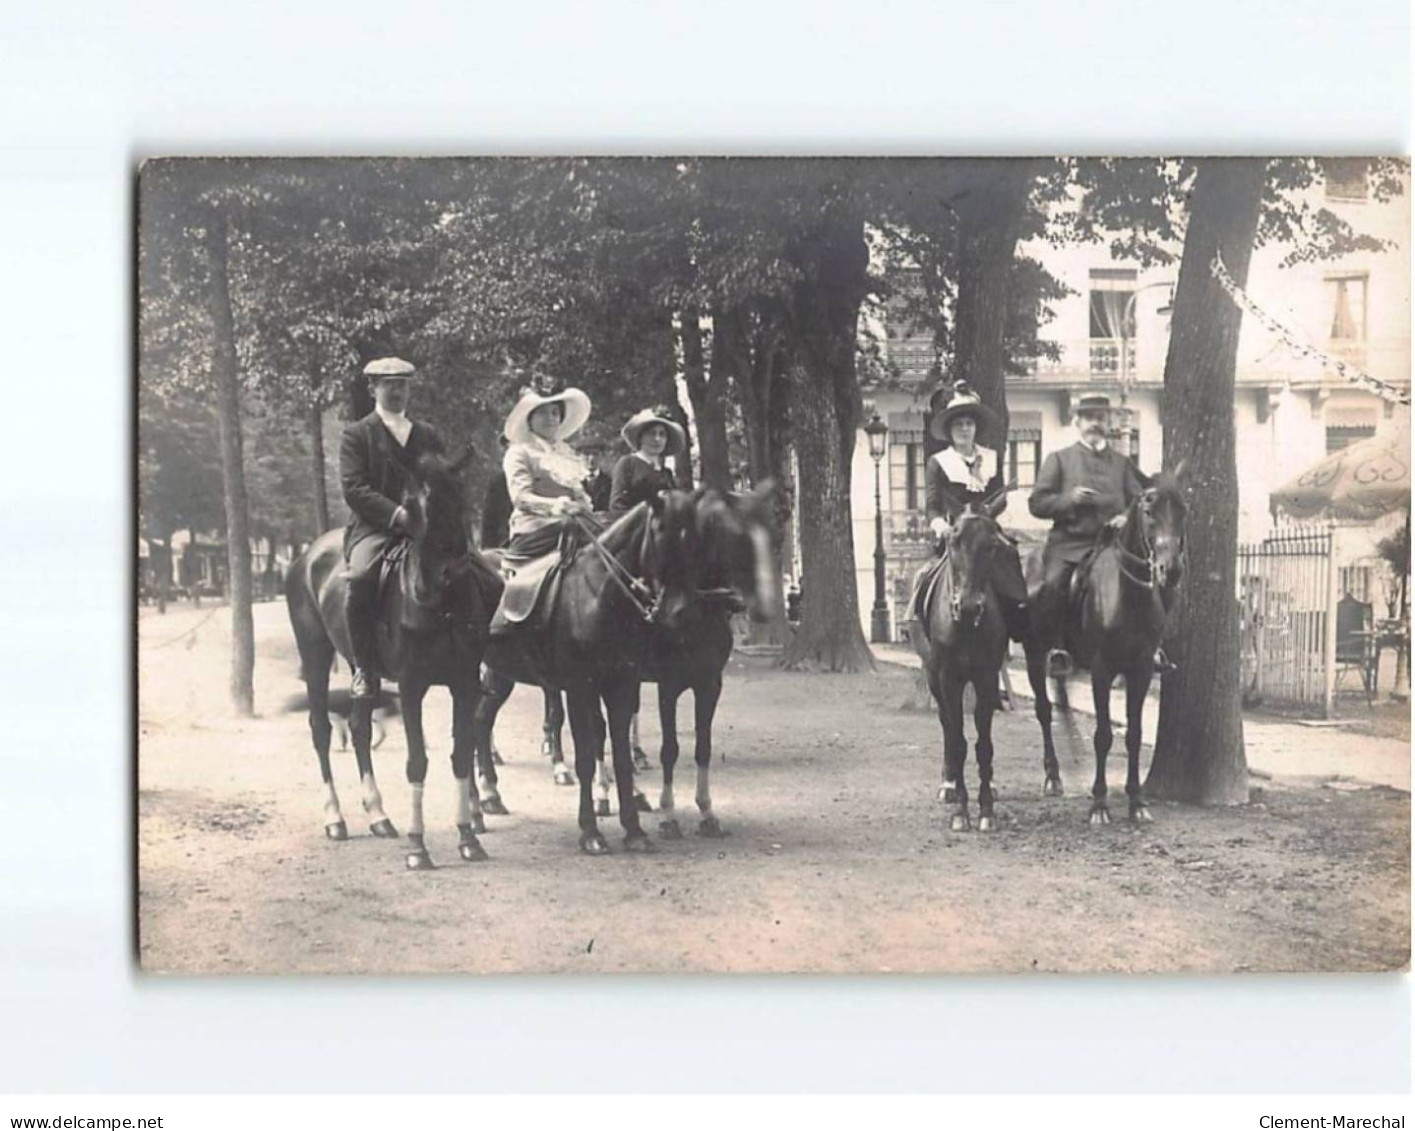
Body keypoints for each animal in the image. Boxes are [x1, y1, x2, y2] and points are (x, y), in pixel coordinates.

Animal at [283, 450, 503, 866]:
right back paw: (335, 819)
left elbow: (461, 754)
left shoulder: (464, 683)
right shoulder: (412, 685)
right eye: (413, 507)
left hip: (361, 665)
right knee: (321, 729)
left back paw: (378, 815)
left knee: (359, 727)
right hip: (315, 654)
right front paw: (418, 847)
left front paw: (468, 837)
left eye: (460, 500)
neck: (443, 607)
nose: (438, 579)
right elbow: (417, 762)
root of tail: (307, 554)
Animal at [469, 489, 701, 854]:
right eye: (661, 536)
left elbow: (620, 755)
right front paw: (591, 831)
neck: (597, 593)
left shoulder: (622, 686)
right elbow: (586, 756)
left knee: (480, 720)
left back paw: (490, 797)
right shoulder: (580, 688)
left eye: (696, 539)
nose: (681, 612)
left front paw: (634, 830)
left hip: (499, 674)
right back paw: (476, 811)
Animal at [916, 492, 1018, 832]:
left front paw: (986, 808)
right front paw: (961, 810)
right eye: (952, 540)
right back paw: (948, 783)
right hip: (933, 678)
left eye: (992, 544)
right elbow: (958, 740)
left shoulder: (986, 677)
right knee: (947, 727)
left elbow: (984, 744)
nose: (971, 606)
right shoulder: (948, 679)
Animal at [1024, 464, 1188, 826]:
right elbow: (1103, 735)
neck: (1129, 597)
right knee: (1043, 709)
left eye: (1184, 510)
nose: (1170, 570)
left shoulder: (1141, 670)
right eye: (1148, 510)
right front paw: (1099, 803)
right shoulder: (1102, 670)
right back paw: (1053, 775)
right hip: (1033, 652)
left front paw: (1136, 802)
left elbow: (1134, 735)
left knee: (1060, 694)